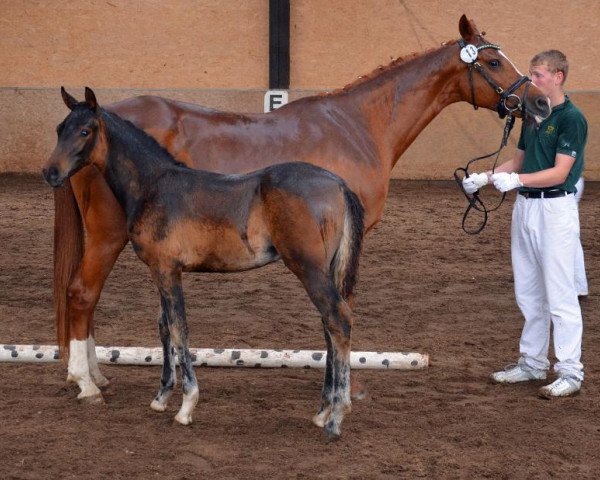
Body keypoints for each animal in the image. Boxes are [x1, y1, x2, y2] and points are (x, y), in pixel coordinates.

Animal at [44, 88, 364, 436]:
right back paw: (322, 411)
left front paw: (186, 406)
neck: (153, 184)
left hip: (309, 269)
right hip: (324, 270)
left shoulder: (167, 270)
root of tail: (338, 184)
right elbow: (164, 327)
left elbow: (179, 328)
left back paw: (336, 416)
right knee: (329, 325)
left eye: (85, 131)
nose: (50, 172)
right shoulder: (162, 270)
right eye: (59, 128)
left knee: (338, 319)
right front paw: (161, 398)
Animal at [51, 16, 548, 404]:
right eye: (493, 62)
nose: (540, 102)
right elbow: (340, 303)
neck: (358, 126)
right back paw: (84, 382)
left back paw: (96, 375)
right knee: (81, 294)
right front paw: (343, 386)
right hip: (108, 235)